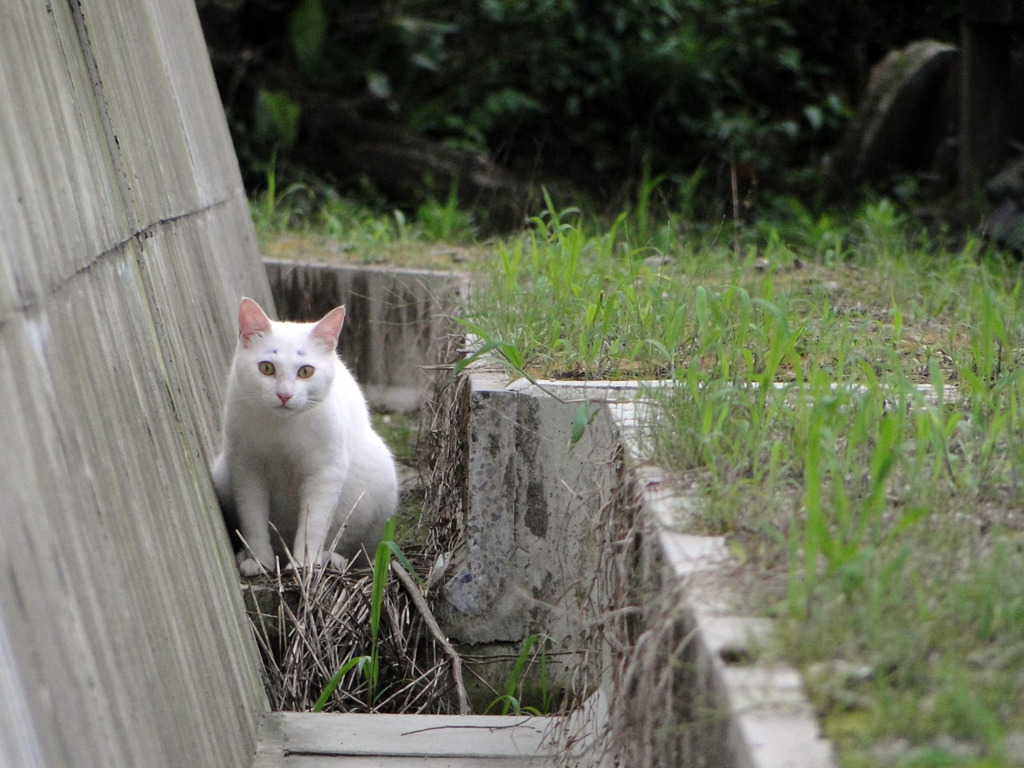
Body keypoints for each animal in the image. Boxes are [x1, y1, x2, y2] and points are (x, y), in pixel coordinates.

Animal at [209, 296, 397, 573]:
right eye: (267, 368)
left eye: (306, 371)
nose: (284, 395)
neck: (282, 431)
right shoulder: (247, 468)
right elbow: (253, 519)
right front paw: (259, 561)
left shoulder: (325, 471)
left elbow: (313, 522)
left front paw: (303, 564)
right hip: (223, 473)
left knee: (354, 549)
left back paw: (331, 558)